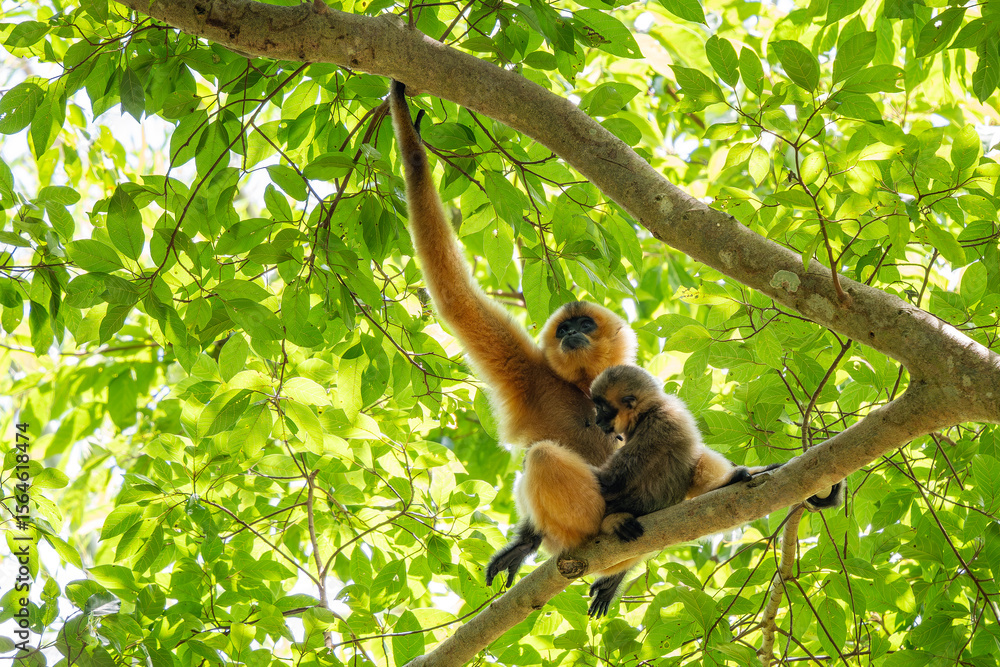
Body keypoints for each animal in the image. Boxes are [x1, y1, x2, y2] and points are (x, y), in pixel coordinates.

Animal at [389, 80, 636, 587]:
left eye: (584, 325)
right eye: (564, 329)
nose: (572, 333)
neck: (583, 387)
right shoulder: (530, 372)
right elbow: (456, 298)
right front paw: (411, 135)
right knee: (542, 457)